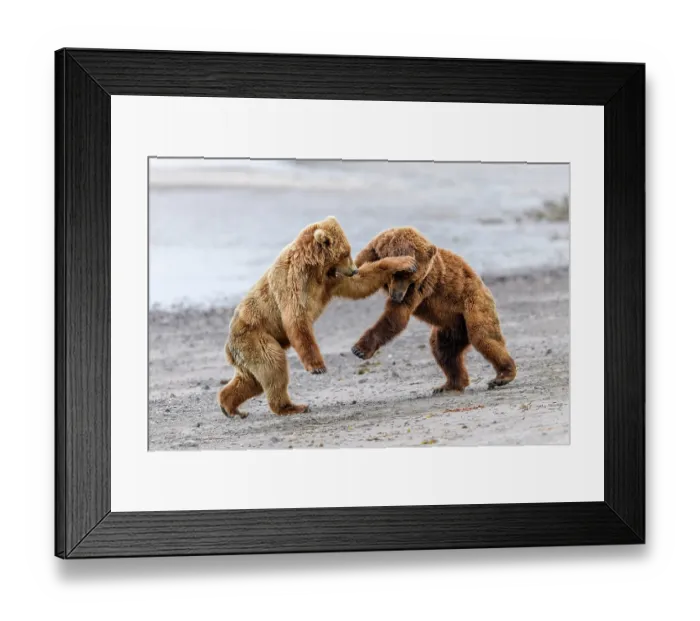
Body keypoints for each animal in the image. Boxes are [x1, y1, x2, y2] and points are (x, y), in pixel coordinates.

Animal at [217, 216, 417, 418]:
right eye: (345, 252)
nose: (353, 269)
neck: (314, 268)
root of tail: (228, 348)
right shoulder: (293, 281)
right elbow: (297, 319)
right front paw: (318, 366)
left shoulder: (331, 280)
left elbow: (361, 282)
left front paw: (405, 261)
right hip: (256, 338)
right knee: (274, 366)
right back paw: (291, 406)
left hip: (249, 351)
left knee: (253, 380)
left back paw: (230, 407)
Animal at [351, 226, 517, 392]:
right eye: (396, 275)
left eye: (412, 279)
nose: (397, 296)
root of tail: (484, 287)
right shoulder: (372, 253)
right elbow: (357, 275)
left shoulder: (422, 284)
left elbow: (396, 316)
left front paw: (360, 349)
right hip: (453, 325)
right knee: (443, 349)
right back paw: (450, 385)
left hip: (473, 304)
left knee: (483, 336)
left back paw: (503, 376)